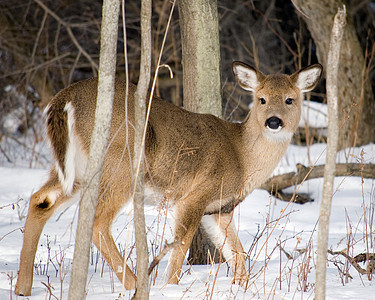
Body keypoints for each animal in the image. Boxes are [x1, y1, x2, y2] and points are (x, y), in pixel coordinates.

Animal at [14, 61, 324, 296]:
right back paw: (137, 285)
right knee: (97, 221)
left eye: (290, 99)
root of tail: (64, 99)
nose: (274, 121)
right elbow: (180, 247)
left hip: (76, 170)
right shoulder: (195, 195)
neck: (242, 157)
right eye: (261, 99)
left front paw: (240, 287)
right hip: (121, 163)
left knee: (40, 200)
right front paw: (170, 287)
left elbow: (238, 253)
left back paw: (22, 288)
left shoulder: (219, 209)